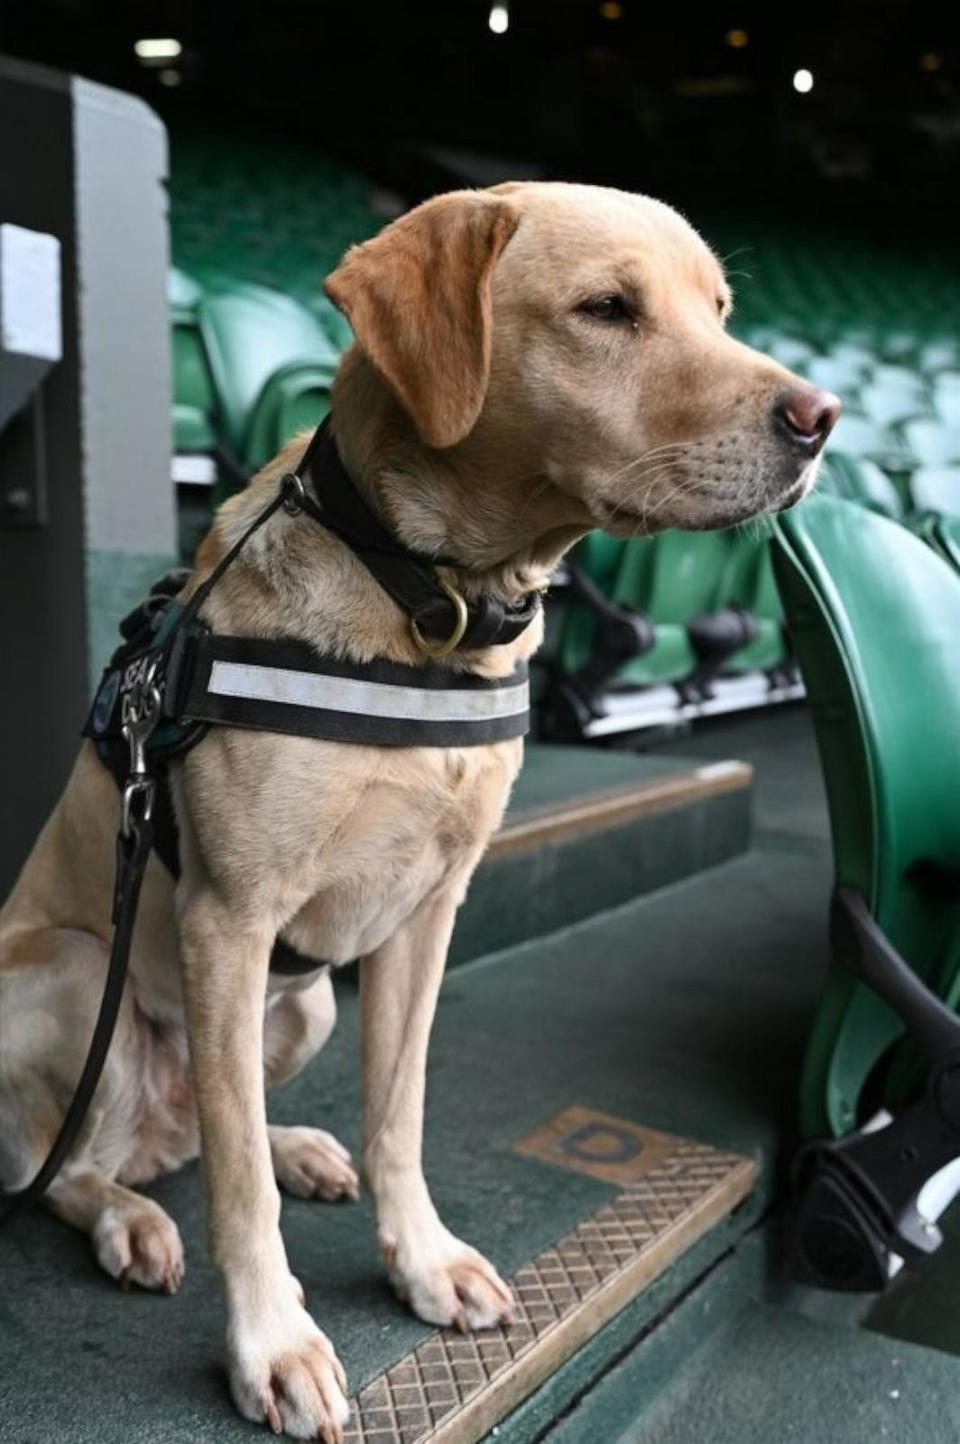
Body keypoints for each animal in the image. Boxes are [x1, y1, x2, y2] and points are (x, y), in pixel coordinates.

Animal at [0, 186, 837, 1438]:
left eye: (722, 309)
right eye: (607, 308)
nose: (822, 418)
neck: (430, 604)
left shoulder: (426, 911)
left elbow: (397, 1111)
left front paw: (421, 1260)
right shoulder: (227, 920)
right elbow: (238, 1194)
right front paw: (273, 1344)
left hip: (302, 1006)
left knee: (206, 1118)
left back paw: (294, 1145)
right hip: (70, 969)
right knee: (73, 1162)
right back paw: (128, 1218)